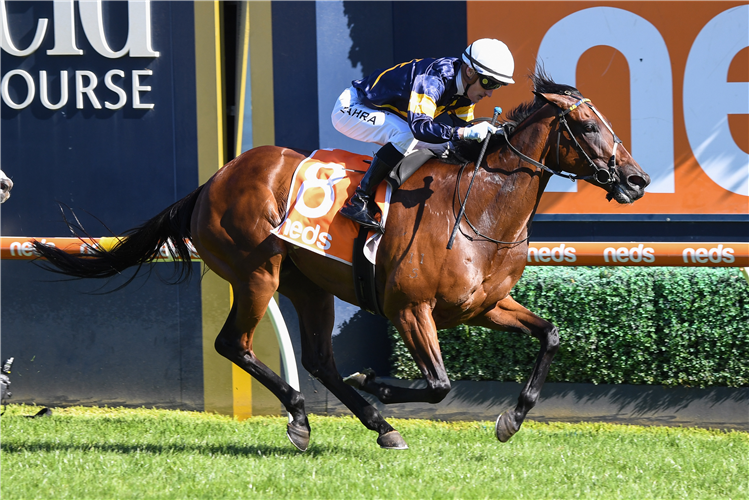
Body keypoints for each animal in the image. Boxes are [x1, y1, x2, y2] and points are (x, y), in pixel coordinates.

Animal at [33, 73, 648, 450]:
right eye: (588, 126)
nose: (638, 179)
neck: (480, 208)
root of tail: (214, 180)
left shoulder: (482, 306)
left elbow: (550, 336)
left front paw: (511, 418)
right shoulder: (410, 309)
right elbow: (439, 383)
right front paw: (378, 380)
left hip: (310, 284)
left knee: (319, 359)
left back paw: (378, 426)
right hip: (257, 273)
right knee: (235, 343)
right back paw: (304, 417)